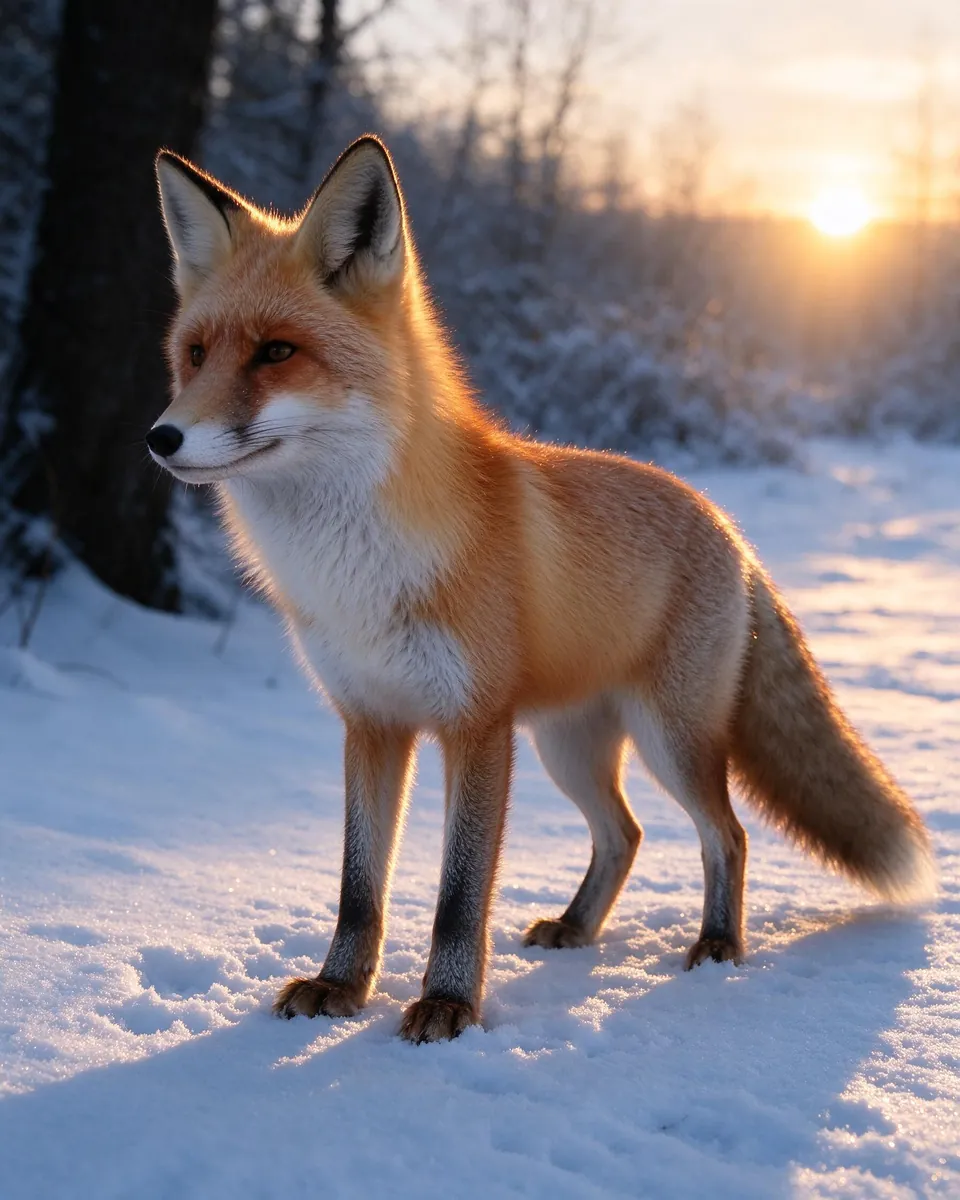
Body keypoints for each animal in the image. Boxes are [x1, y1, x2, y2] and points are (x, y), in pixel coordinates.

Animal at [148, 135, 935, 1043]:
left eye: (277, 352)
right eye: (196, 354)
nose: (161, 437)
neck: (357, 570)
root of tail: (729, 528)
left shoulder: (477, 725)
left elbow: (458, 895)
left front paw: (450, 1005)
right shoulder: (370, 723)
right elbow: (358, 888)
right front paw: (340, 986)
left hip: (669, 739)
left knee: (728, 835)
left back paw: (717, 944)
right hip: (570, 747)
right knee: (626, 835)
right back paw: (578, 927)